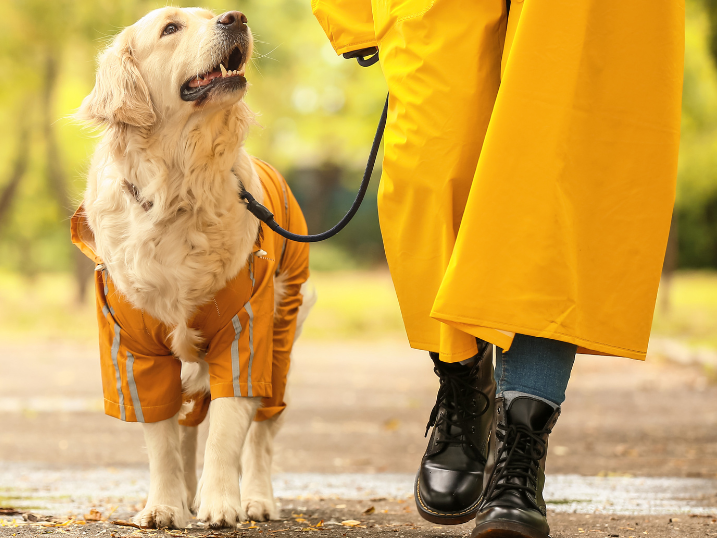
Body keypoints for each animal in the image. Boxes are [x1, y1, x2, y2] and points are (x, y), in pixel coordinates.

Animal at [75, 7, 314, 528]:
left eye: (209, 15)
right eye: (170, 28)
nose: (235, 17)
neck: (178, 188)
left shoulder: (245, 331)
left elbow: (227, 430)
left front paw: (221, 503)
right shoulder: (134, 347)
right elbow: (162, 441)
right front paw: (165, 506)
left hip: (282, 339)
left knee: (262, 432)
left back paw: (256, 499)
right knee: (186, 426)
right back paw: (185, 495)